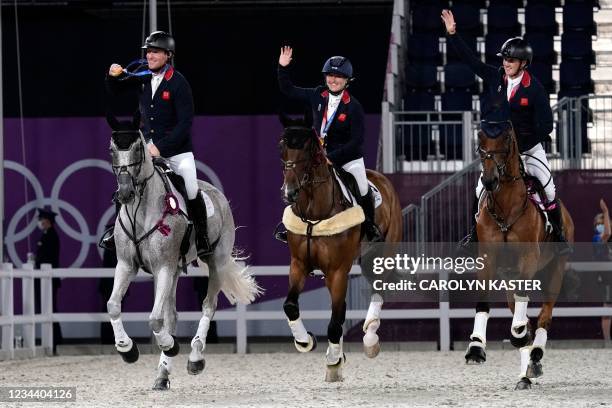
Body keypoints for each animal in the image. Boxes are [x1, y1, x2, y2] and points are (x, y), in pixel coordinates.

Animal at [278, 114, 402, 382]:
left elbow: (335, 322)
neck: (314, 213)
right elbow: (290, 305)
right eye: (281, 146)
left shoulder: (337, 270)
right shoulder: (299, 265)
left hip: (381, 255)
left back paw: (370, 339)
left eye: (308, 149)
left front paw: (334, 362)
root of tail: (382, 178)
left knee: (378, 290)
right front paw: (305, 342)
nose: (290, 192)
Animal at [464, 122, 572, 390]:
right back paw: (526, 368)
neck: (506, 206)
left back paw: (534, 355)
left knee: (544, 317)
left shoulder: (529, 258)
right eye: (480, 141)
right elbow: (484, 302)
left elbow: (526, 302)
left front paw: (520, 337)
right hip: (508, 277)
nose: (489, 180)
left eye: (505, 140)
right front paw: (476, 348)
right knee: (523, 317)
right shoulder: (488, 258)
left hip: (555, 271)